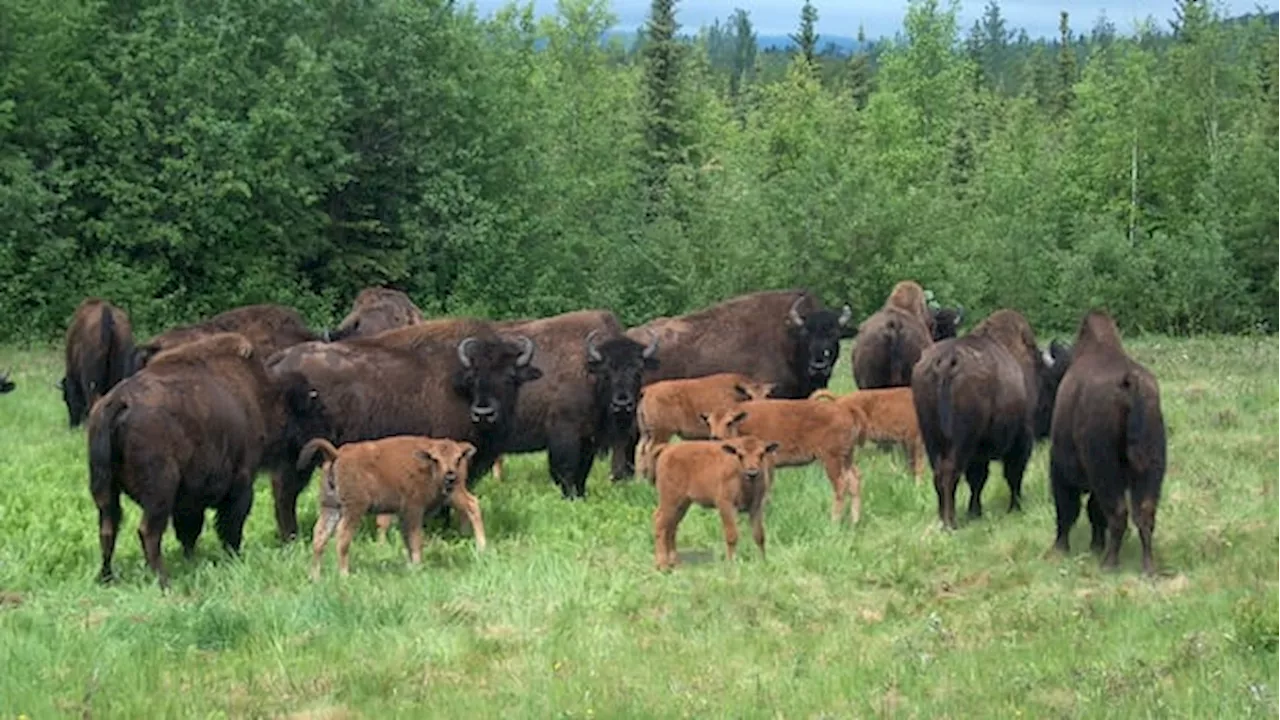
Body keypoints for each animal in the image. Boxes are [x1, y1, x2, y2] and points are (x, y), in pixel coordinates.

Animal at [88, 333, 314, 589]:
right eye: (298, 411)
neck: (261, 393)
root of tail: (118, 401)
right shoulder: (241, 482)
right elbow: (230, 524)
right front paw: (233, 557)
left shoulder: (189, 497)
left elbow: (189, 530)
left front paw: (191, 560)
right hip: (160, 492)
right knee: (148, 532)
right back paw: (164, 580)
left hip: (106, 491)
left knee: (108, 529)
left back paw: (106, 577)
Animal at [263, 318, 542, 542]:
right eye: (472, 378)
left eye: (510, 377)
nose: (484, 413)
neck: (458, 385)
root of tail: (279, 362)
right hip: (297, 457)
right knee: (285, 492)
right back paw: (292, 538)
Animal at [493, 310, 658, 498]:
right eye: (606, 372)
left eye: (638, 371)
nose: (622, 404)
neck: (589, 372)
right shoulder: (565, 435)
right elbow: (566, 471)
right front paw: (569, 497)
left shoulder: (587, 440)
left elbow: (582, 473)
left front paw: (580, 496)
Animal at [911, 309, 1070, 529]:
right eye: (1056, 384)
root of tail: (946, 362)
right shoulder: (1022, 440)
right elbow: (1013, 474)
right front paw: (1015, 508)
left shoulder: (980, 453)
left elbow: (978, 479)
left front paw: (974, 511)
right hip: (962, 440)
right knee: (950, 472)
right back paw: (951, 523)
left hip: (932, 439)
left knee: (939, 474)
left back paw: (943, 519)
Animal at [1050, 310, 1166, 574]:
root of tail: (1131, 383)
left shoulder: (1060, 468)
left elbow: (1067, 509)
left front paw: (1059, 549)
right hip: (1151, 467)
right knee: (1144, 513)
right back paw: (1148, 567)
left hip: (1105, 469)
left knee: (1118, 513)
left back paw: (1109, 563)